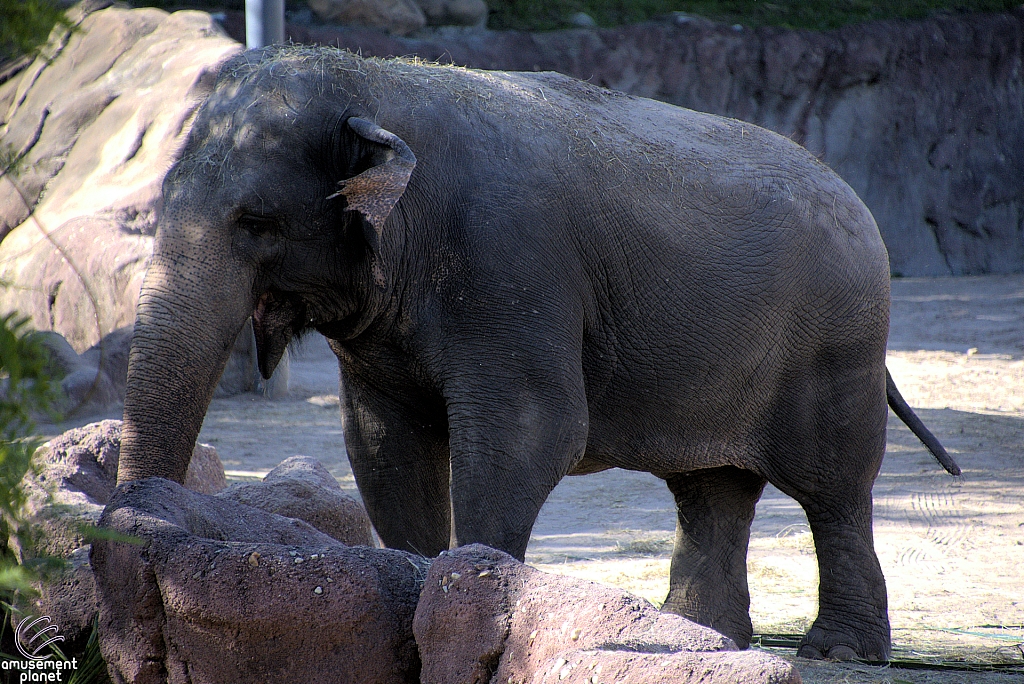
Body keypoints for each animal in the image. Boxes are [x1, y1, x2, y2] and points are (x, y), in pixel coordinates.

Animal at [119, 44, 958, 663]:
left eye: (257, 222)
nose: (143, 531)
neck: (380, 82)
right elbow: (384, 446)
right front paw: (413, 587)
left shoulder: (514, 268)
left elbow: (527, 434)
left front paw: (465, 606)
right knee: (711, 488)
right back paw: (701, 636)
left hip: (837, 340)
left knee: (832, 487)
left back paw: (837, 652)